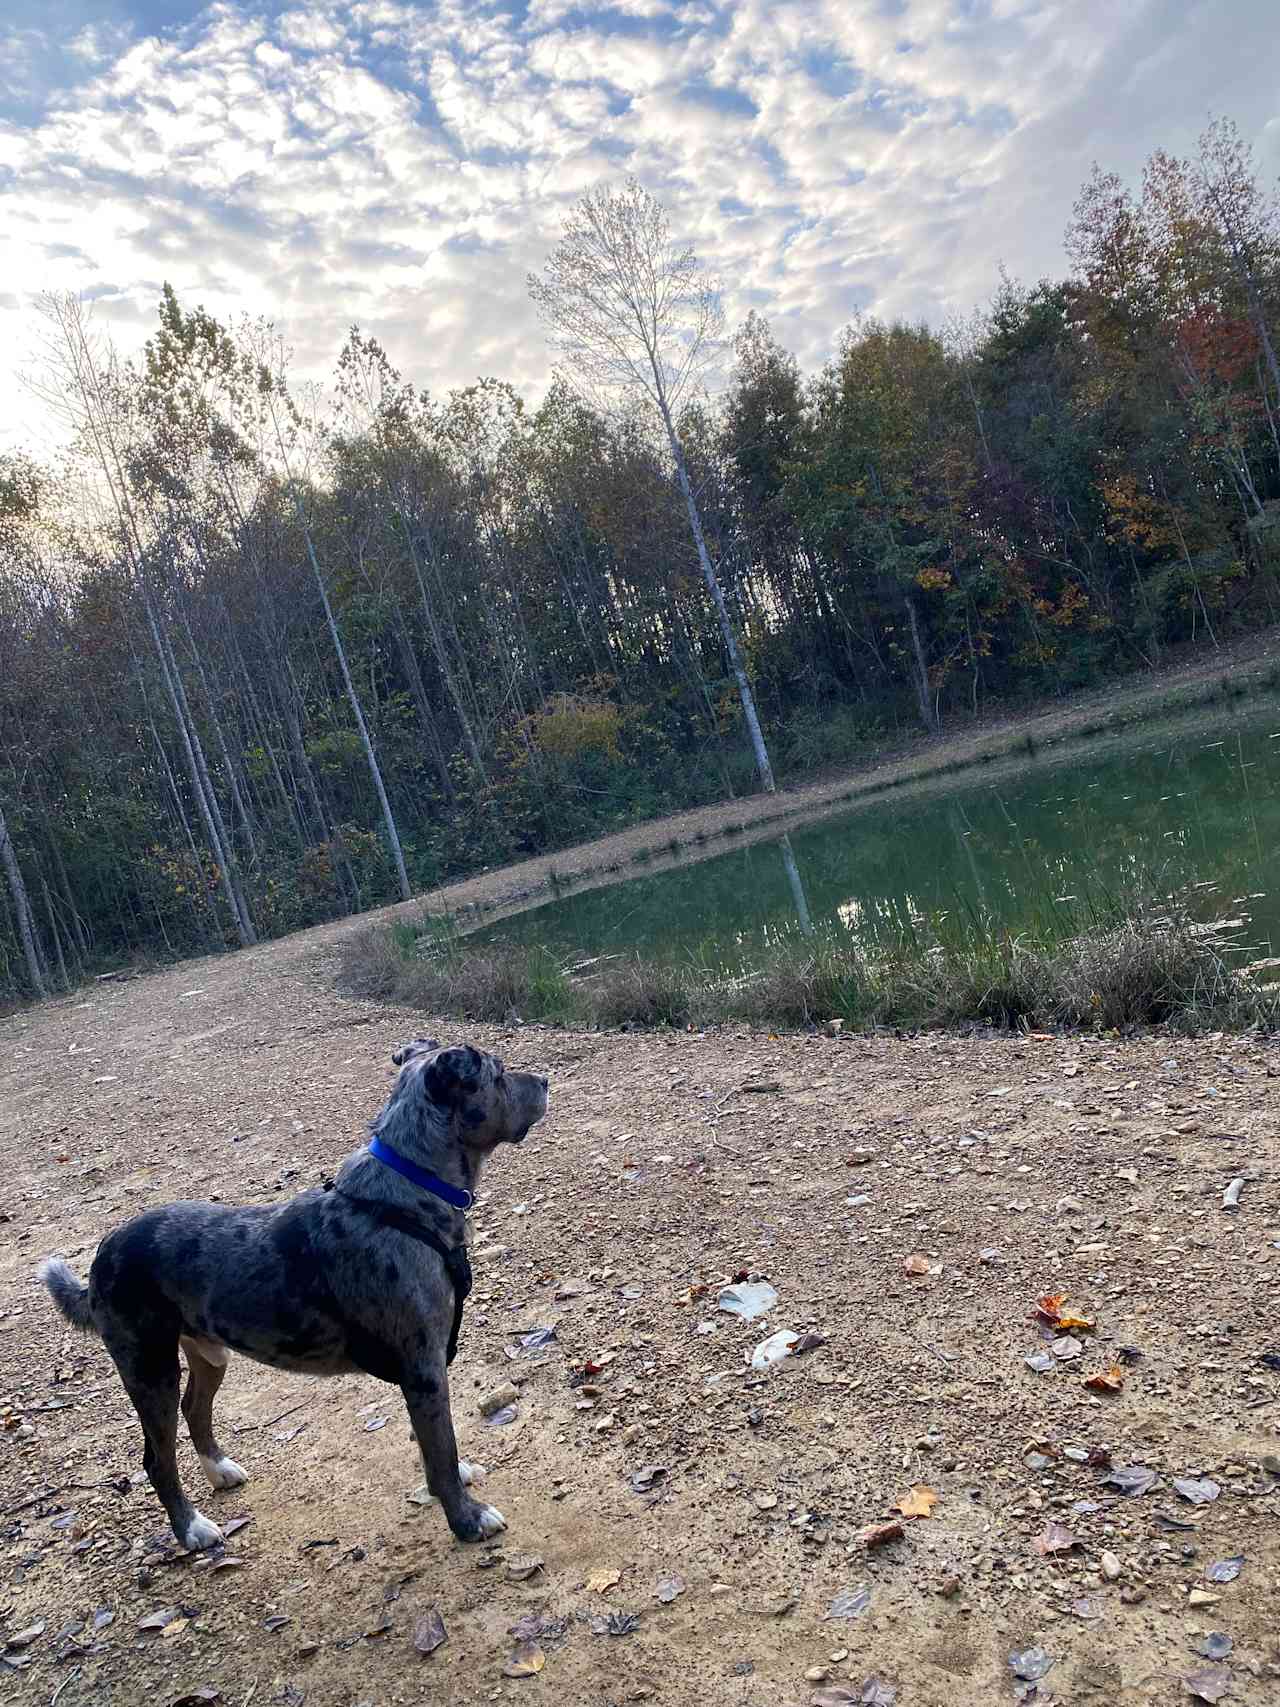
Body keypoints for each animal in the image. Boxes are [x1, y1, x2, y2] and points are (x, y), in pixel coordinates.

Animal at [37, 1031, 549, 1556]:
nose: (546, 1080)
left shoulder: (421, 1372)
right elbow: (441, 1450)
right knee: (158, 1459)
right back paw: (192, 1529)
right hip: (150, 1369)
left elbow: (433, 1447)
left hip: (208, 1354)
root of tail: (103, 1252)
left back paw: (219, 1470)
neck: (404, 1197)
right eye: (499, 1073)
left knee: (194, 1409)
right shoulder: (423, 1369)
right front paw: (466, 1518)